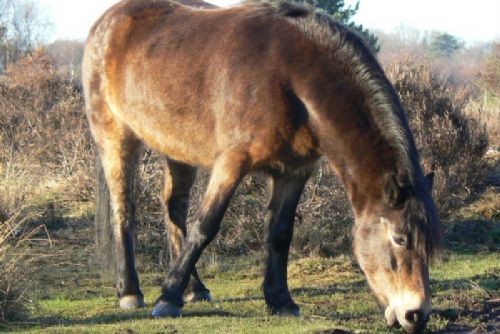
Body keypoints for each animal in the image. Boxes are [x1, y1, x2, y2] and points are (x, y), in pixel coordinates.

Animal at [83, 0, 442, 332]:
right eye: (400, 239)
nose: (416, 315)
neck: (291, 76)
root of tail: (108, 20)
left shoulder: (294, 172)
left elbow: (280, 233)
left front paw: (281, 300)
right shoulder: (232, 163)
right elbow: (205, 226)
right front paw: (167, 298)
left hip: (178, 149)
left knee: (174, 209)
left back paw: (195, 289)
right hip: (116, 137)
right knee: (124, 211)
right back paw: (131, 292)